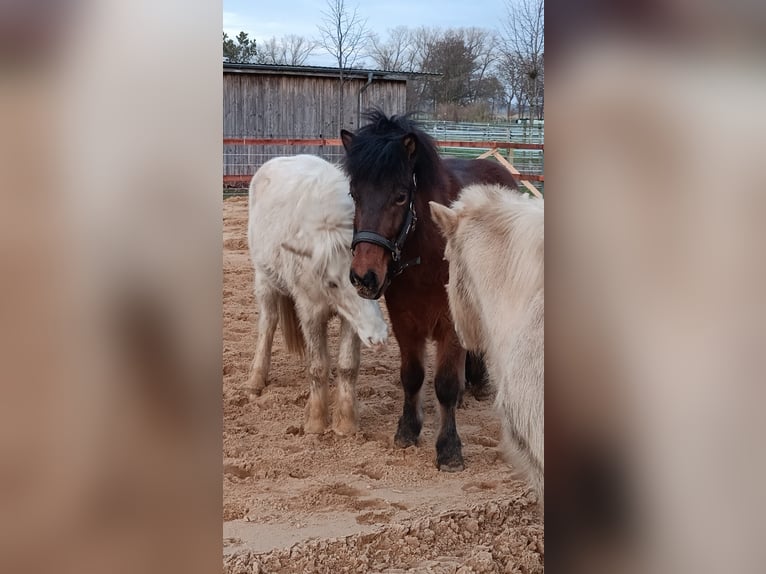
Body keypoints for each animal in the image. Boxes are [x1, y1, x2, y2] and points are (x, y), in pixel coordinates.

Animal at [246, 154, 388, 435]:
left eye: (373, 278)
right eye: (332, 283)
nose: (378, 337)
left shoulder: (352, 319)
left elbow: (347, 366)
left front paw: (345, 424)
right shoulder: (311, 312)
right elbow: (317, 366)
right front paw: (316, 423)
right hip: (264, 281)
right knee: (268, 325)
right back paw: (256, 381)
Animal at [340, 110, 519, 471]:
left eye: (400, 196)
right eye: (354, 194)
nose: (364, 276)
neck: (426, 251)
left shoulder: (449, 321)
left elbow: (445, 384)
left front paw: (449, 449)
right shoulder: (404, 320)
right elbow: (412, 376)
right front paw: (407, 431)